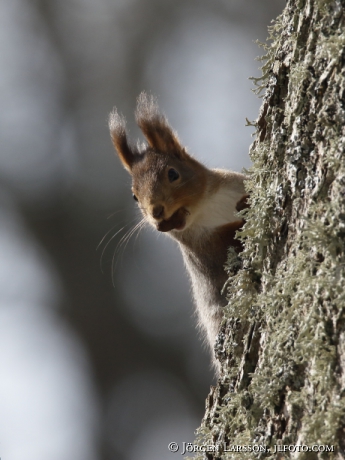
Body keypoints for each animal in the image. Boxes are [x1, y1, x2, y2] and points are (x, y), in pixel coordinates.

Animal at [109, 93, 246, 370]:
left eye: (173, 173)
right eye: (134, 196)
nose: (156, 212)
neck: (207, 209)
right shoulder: (202, 249)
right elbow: (223, 253)